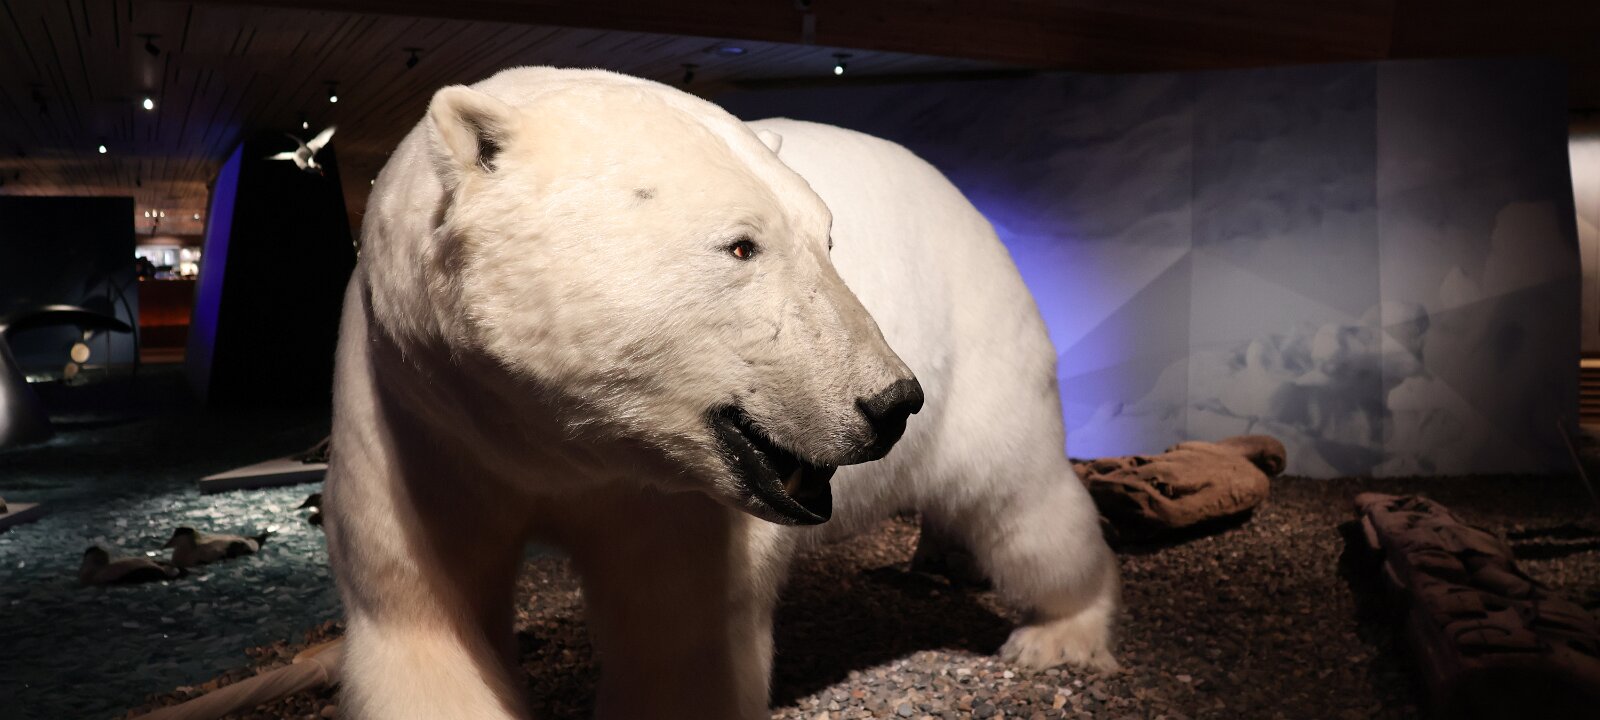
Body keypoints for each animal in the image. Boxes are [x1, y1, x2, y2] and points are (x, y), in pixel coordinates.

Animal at [324, 66, 1119, 720]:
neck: (555, 441)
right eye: (742, 245)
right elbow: (424, 620)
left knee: (1020, 496)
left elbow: (678, 637)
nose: (891, 402)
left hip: (980, 337)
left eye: (829, 241)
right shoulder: (422, 422)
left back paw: (1059, 630)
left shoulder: (671, 497)